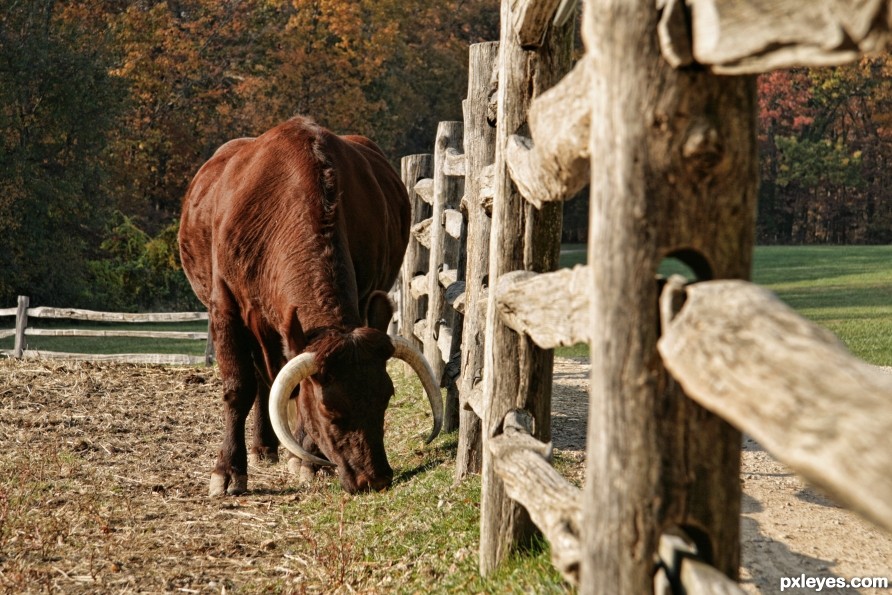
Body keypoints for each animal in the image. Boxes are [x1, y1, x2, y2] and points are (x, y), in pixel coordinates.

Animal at [178, 114, 442, 496]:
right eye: (329, 409)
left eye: (387, 397)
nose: (375, 478)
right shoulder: (224, 307)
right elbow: (238, 387)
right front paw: (228, 471)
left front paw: (307, 460)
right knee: (262, 377)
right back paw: (263, 447)